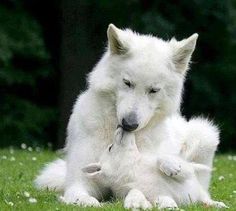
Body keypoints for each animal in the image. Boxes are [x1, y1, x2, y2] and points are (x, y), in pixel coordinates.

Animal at [82, 127, 227, 209]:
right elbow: (137, 194)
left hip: (199, 192)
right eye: (110, 147)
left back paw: (219, 205)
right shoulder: (148, 194)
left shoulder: (186, 171)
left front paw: (172, 168)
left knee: (207, 200)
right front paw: (135, 203)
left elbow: (161, 159)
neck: (134, 170)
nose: (120, 125)